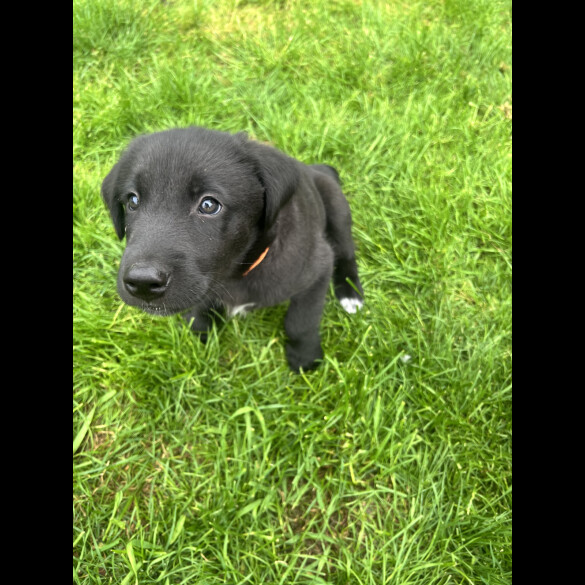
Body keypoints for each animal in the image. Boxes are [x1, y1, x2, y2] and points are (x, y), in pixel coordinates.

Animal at [102, 127, 362, 370]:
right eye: (132, 201)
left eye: (209, 205)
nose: (142, 283)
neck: (238, 272)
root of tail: (316, 170)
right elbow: (202, 304)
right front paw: (200, 331)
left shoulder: (318, 268)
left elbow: (301, 321)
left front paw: (305, 357)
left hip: (337, 207)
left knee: (347, 254)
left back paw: (351, 294)